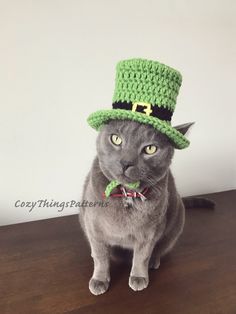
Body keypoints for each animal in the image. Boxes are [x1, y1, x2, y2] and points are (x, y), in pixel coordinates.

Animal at [79, 119, 212, 296]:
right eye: (116, 139)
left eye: (150, 149)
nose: (126, 163)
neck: (127, 195)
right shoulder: (94, 228)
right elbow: (100, 257)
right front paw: (99, 280)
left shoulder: (150, 232)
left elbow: (142, 256)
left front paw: (139, 277)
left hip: (175, 224)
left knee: (159, 250)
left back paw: (153, 262)